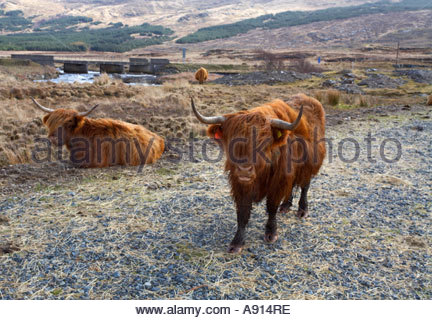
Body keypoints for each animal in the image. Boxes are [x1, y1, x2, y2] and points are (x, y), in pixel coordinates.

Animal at [191, 94, 326, 254]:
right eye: (232, 141)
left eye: (263, 142)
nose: (244, 170)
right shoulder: (241, 185)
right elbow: (242, 213)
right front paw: (237, 243)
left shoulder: (277, 182)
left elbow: (272, 207)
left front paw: (271, 233)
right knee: (291, 186)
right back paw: (286, 206)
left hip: (310, 165)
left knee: (305, 186)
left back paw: (302, 210)